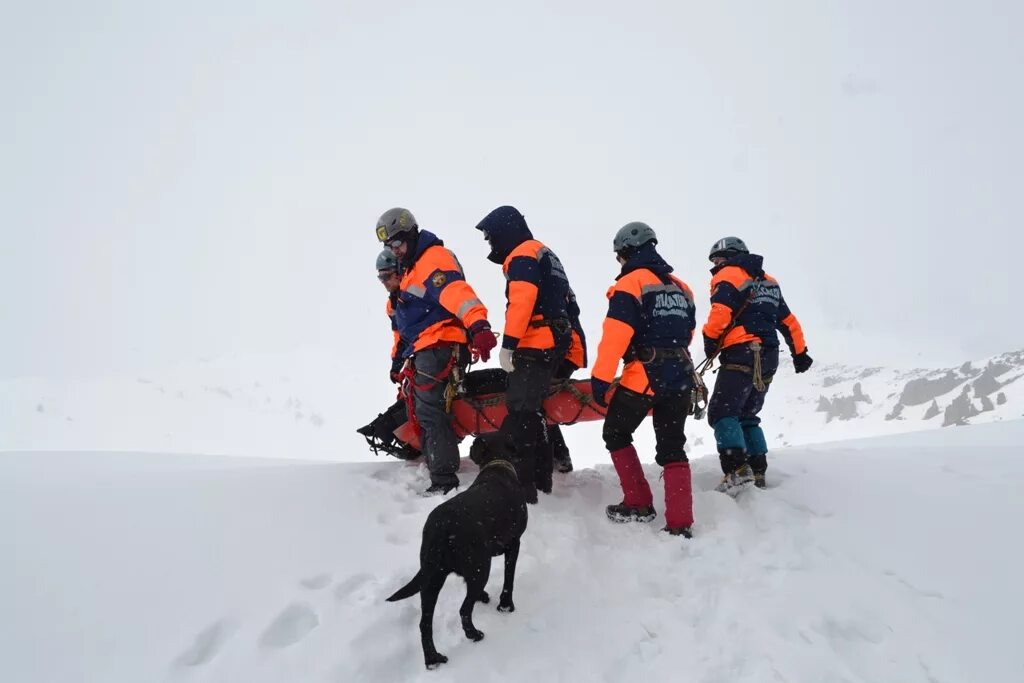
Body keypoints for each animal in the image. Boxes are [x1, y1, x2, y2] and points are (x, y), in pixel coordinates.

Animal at [385, 454, 528, 667]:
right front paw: (505, 606)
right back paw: (474, 635)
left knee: (425, 623)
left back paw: (433, 659)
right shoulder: (514, 543)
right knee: (463, 610)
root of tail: (442, 527)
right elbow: (508, 579)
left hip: (432, 577)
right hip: (480, 568)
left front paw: (484, 597)